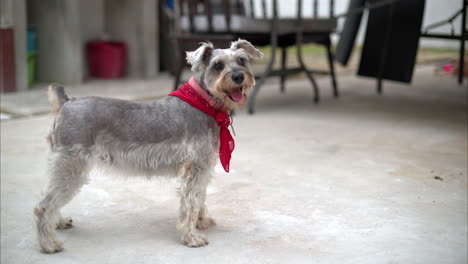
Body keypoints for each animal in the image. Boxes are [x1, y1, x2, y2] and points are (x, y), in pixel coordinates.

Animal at [33, 38, 264, 252]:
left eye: (242, 60)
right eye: (217, 65)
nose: (239, 76)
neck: (203, 103)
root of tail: (67, 102)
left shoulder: (203, 168)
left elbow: (200, 197)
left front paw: (202, 221)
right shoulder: (194, 170)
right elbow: (190, 203)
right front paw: (192, 237)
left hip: (64, 168)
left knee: (48, 196)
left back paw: (59, 222)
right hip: (71, 167)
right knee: (43, 206)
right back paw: (49, 244)